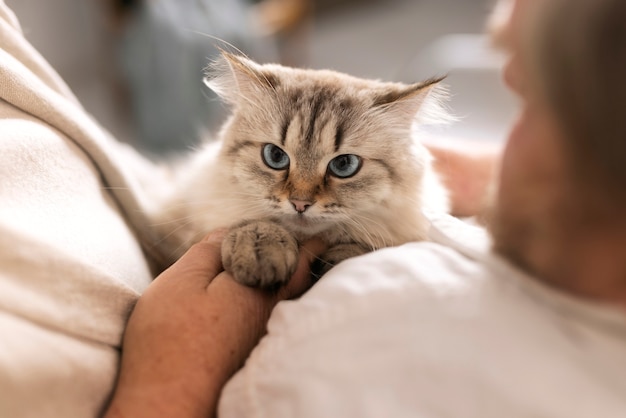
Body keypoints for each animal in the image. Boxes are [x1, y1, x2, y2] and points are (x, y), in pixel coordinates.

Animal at [154, 51, 450, 288]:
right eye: (275, 156)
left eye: (344, 165)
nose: (299, 204)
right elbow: (254, 222)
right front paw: (259, 250)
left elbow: (363, 247)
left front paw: (336, 262)